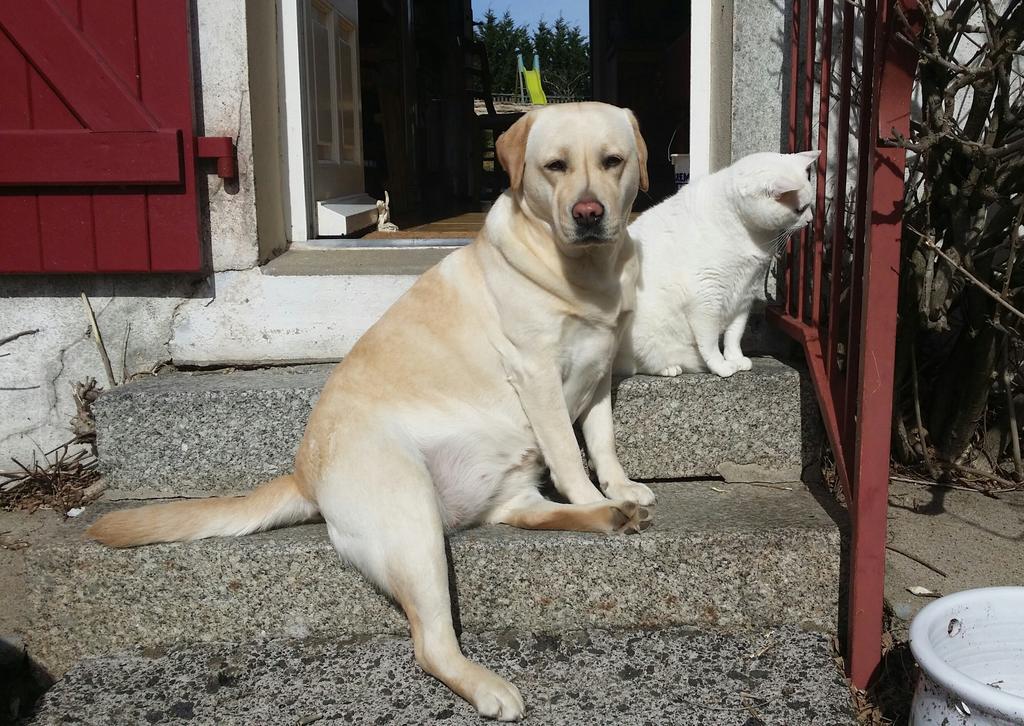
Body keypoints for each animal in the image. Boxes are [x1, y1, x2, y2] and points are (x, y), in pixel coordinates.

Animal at [94, 101, 655, 720]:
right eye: (555, 167)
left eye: (613, 161)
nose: (588, 213)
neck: (586, 274)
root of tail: (304, 476)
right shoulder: (536, 373)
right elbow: (569, 452)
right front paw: (593, 494)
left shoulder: (599, 368)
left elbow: (601, 442)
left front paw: (619, 489)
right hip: (411, 522)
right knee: (431, 644)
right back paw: (492, 681)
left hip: (499, 490)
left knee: (523, 513)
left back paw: (611, 516)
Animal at [610, 152, 819, 378]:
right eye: (800, 209)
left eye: (810, 206)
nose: (811, 220)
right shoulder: (706, 297)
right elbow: (709, 343)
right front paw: (721, 366)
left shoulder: (745, 297)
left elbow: (734, 335)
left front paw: (736, 359)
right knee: (639, 362)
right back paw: (668, 367)